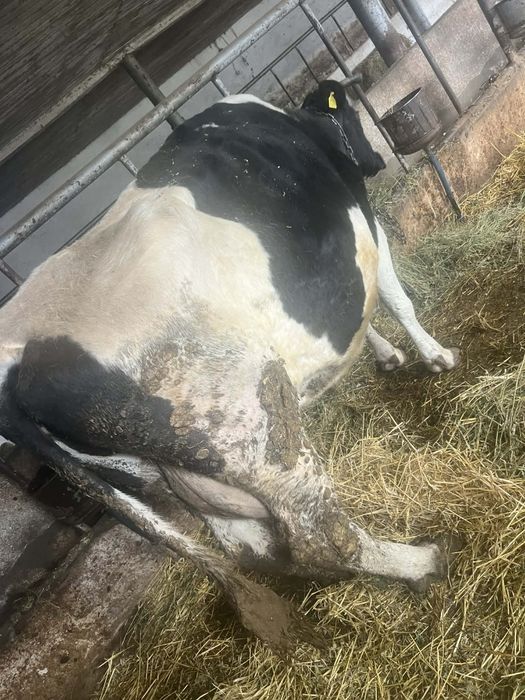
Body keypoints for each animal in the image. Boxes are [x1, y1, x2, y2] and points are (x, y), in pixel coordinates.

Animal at [0, 81, 459, 651]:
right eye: (352, 115)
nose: (376, 159)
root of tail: (18, 352)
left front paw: (387, 355)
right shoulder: (369, 228)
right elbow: (396, 300)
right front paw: (434, 355)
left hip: (182, 475)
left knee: (248, 546)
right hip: (254, 436)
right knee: (320, 536)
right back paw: (421, 561)